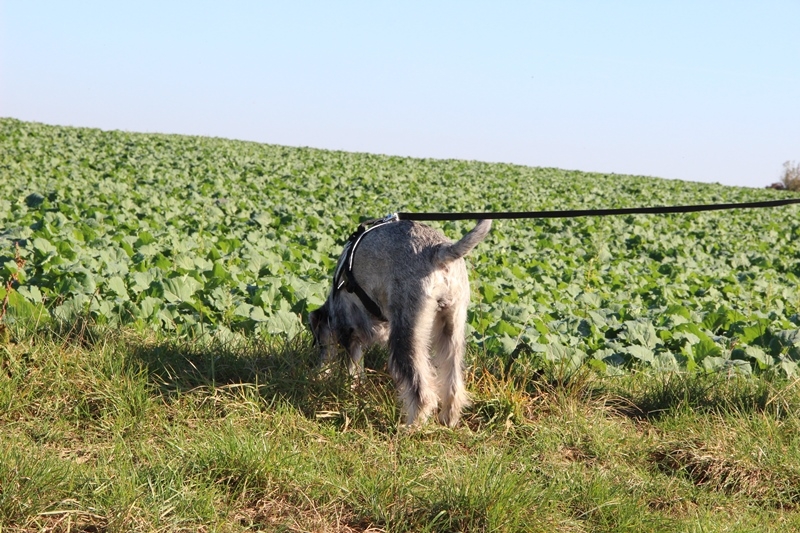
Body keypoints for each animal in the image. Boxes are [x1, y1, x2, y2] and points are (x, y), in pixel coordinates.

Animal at [310, 214, 490, 426]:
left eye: (319, 341)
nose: (317, 374)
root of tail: (439, 251)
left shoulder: (349, 329)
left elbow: (353, 364)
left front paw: (351, 386)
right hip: (452, 326)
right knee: (452, 381)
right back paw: (449, 419)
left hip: (406, 330)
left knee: (421, 388)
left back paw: (412, 425)